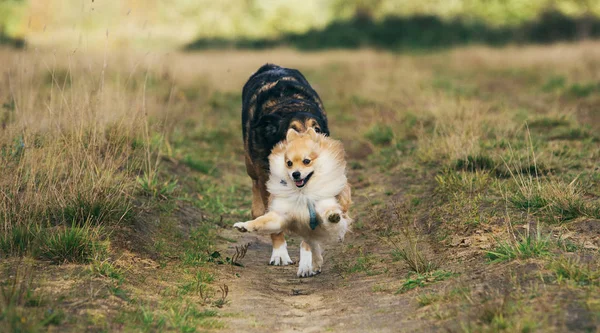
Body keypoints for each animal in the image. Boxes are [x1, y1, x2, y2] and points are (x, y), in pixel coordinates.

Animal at [231, 128, 352, 276]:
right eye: (289, 163)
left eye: (306, 161)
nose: (295, 174)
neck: (302, 192)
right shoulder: (280, 215)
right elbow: (260, 221)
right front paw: (244, 226)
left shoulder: (324, 207)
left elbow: (329, 213)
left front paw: (333, 216)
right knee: (313, 244)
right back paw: (315, 263)